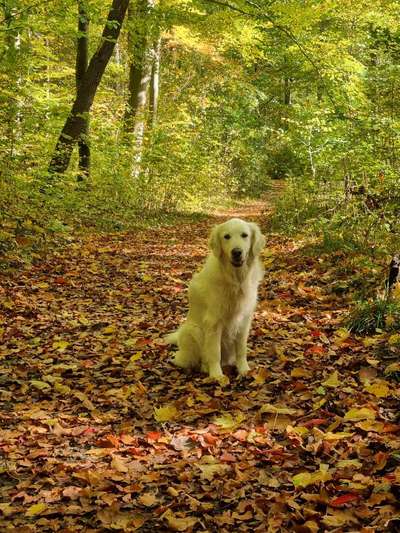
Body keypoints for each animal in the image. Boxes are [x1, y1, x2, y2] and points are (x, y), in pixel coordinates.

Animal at [166, 216, 266, 378]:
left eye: (244, 235)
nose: (236, 252)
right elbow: (214, 352)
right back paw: (204, 367)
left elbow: (241, 350)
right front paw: (216, 375)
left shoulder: (244, 320)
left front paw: (244, 369)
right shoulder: (213, 321)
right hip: (193, 330)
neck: (235, 280)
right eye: (227, 236)